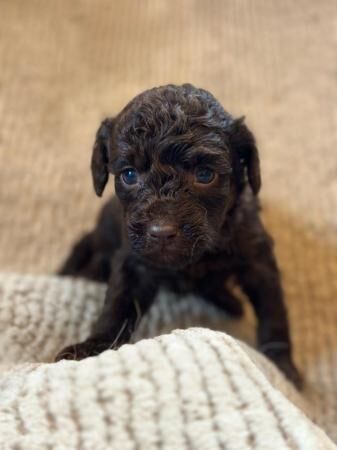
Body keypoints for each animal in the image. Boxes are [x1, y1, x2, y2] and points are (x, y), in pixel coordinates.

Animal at [56, 83, 300, 386]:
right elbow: (117, 305)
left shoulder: (257, 257)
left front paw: (282, 366)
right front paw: (93, 347)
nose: (161, 232)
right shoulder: (135, 261)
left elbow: (273, 312)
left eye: (205, 174)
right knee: (86, 243)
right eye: (129, 175)